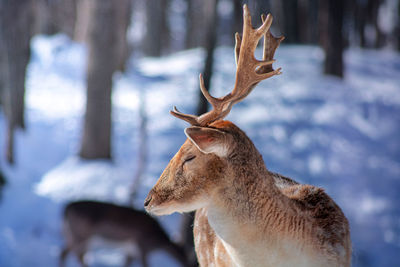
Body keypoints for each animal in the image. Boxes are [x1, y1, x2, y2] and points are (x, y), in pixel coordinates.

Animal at [59, 201, 191, 267]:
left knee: (64, 252)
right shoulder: (142, 247)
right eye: (190, 259)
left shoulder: (130, 251)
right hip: (81, 235)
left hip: (72, 234)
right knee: (77, 254)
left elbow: (125, 264)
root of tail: (65, 209)